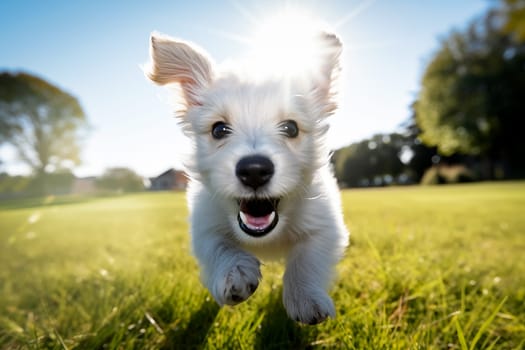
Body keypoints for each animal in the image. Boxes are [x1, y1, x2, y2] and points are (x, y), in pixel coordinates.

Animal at [146, 31, 348, 324]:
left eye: (291, 128)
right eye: (219, 129)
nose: (254, 170)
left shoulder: (325, 225)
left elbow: (307, 258)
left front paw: (305, 298)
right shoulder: (205, 225)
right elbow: (220, 247)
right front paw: (236, 273)